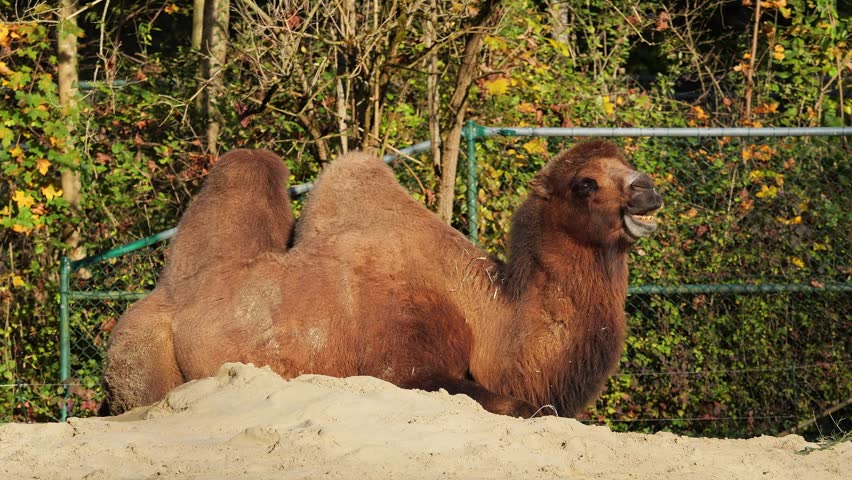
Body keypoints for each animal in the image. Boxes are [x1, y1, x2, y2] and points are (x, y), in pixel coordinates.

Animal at [103, 140, 663, 418]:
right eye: (585, 183)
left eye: (629, 164)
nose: (647, 190)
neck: (491, 316)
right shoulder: (405, 365)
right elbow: (526, 408)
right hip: (140, 362)